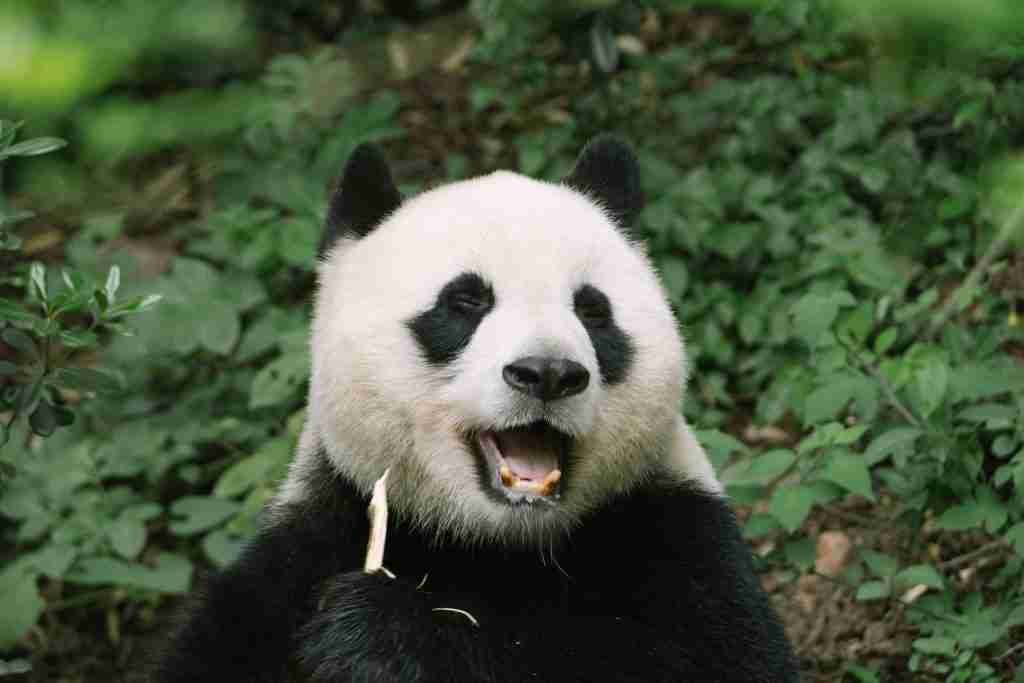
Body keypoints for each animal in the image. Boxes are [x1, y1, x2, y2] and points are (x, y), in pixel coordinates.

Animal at [157, 136, 798, 679]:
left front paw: (376, 634)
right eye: (466, 301)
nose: (548, 373)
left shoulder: (679, 535)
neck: (497, 544)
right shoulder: (307, 543)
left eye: (592, 310)